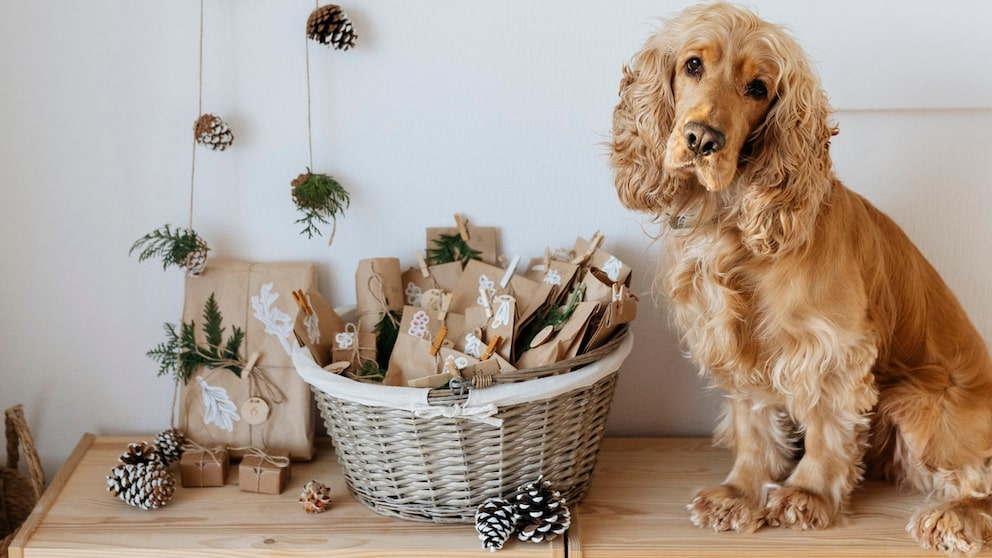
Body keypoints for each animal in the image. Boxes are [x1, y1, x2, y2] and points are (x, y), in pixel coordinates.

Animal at [608, 3, 992, 556]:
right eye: (693, 64)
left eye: (758, 88)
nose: (702, 139)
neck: (729, 224)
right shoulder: (738, 348)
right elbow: (753, 425)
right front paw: (740, 494)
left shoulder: (833, 350)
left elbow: (828, 427)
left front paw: (806, 494)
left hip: (917, 402)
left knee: (977, 478)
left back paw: (952, 516)